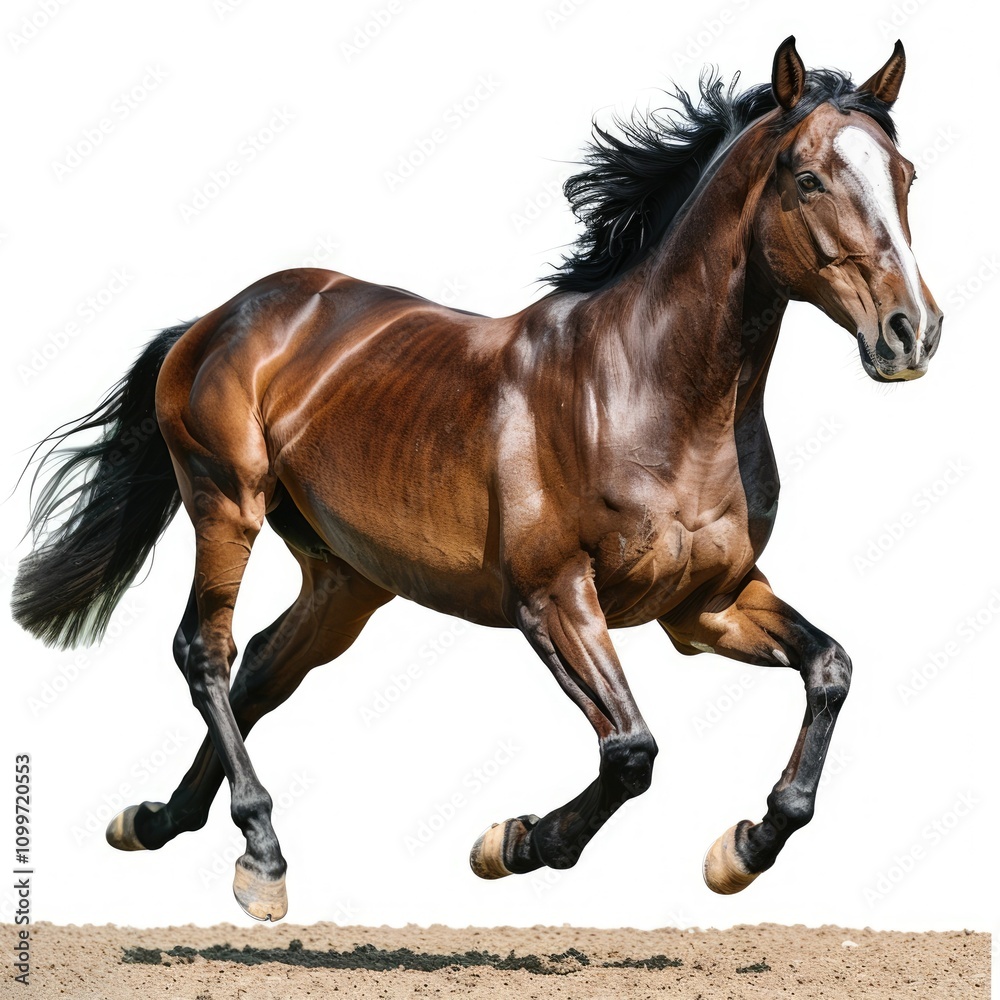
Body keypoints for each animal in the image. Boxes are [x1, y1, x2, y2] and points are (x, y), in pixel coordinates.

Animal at [13, 37, 941, 921]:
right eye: (809, 178)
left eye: (905, 175)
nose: (912, 332)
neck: (648, 394)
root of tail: (215, 319)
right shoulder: (552, 596)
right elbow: (631, 751)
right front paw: (516, 843)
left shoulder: (705, 605)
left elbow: (830, 669)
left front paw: (743, 849)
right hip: (224, 503)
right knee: (206, 652)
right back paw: (261, 857)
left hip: (347, 580)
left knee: (265, 668)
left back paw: (156, 820)